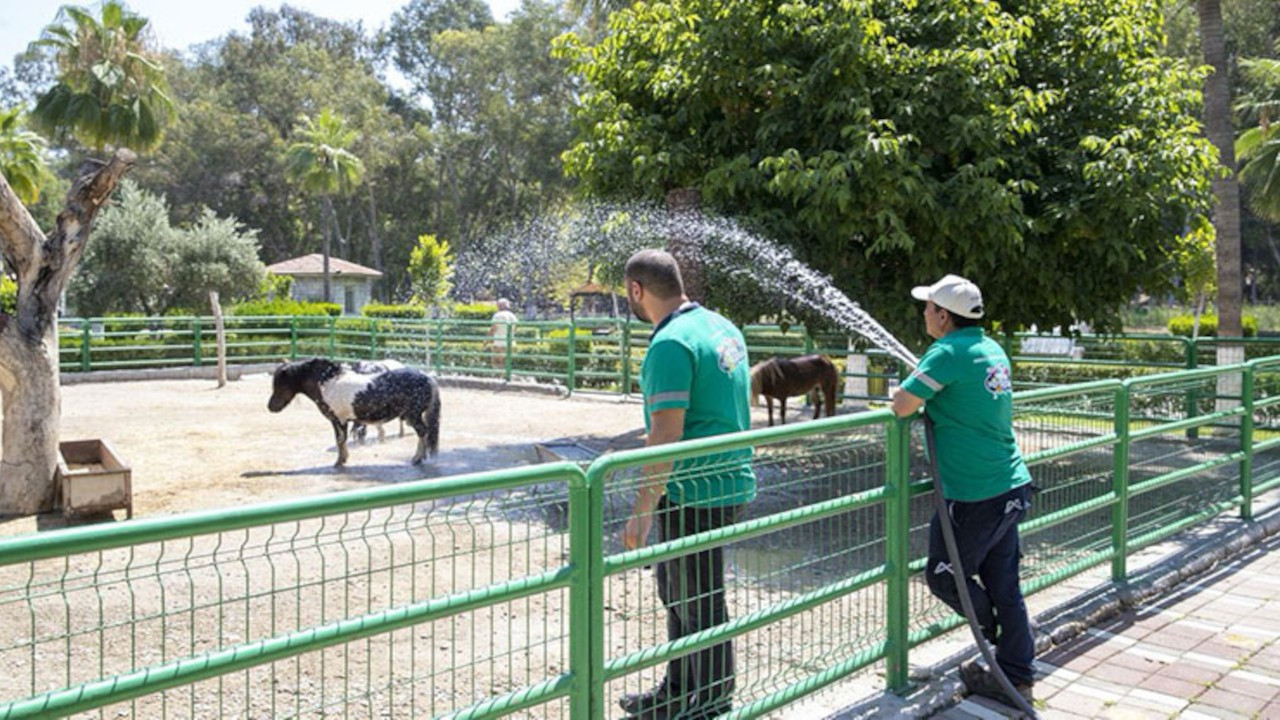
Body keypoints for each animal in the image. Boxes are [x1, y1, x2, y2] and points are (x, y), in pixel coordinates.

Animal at [267, 356, 442, 466]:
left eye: (281, 384)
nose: (271, 407)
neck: (328, 383)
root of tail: (428, 378)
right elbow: (341, 440)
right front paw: (343, 459)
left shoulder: (338, 420)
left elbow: (340, 440)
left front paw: (340, 461)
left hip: (413, 416)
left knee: (422, 432)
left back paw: (417, 459)